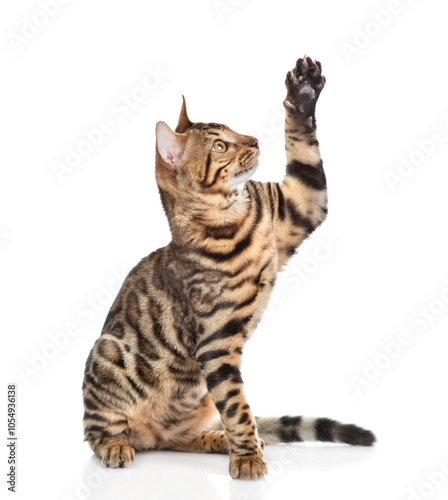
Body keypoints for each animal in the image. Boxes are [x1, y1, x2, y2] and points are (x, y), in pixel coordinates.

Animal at [83, 58, 374, 480]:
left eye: (234, 131)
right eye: (219, 145)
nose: (252, 140)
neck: (235, 217)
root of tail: (150, 435)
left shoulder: (301, 204)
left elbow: (304, 149)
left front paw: (303, 94)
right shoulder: (216, 343)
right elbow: (237, 406)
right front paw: (248, 459)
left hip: (191, 409)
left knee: (179, 438)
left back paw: (215, 440)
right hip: (106, 353)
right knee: (96, 430)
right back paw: (116, 445)